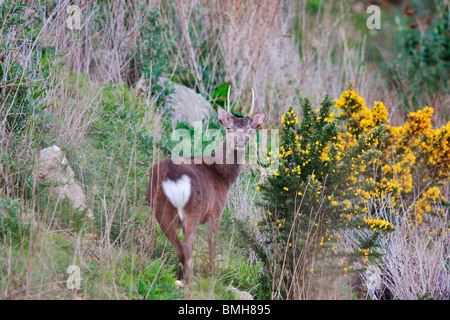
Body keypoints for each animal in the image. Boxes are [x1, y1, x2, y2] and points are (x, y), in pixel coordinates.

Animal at [146, 89, 266, 284]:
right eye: (229, 128)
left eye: (250, 130)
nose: (240, 142)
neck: (222, 176)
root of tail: (172, 177)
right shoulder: (216, 210)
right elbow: (212, 245)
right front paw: (212, 275)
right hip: (193, 209)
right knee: (187, 244)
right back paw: (192, 281)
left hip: (160, 208)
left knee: (176, 245)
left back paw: (180, 278)